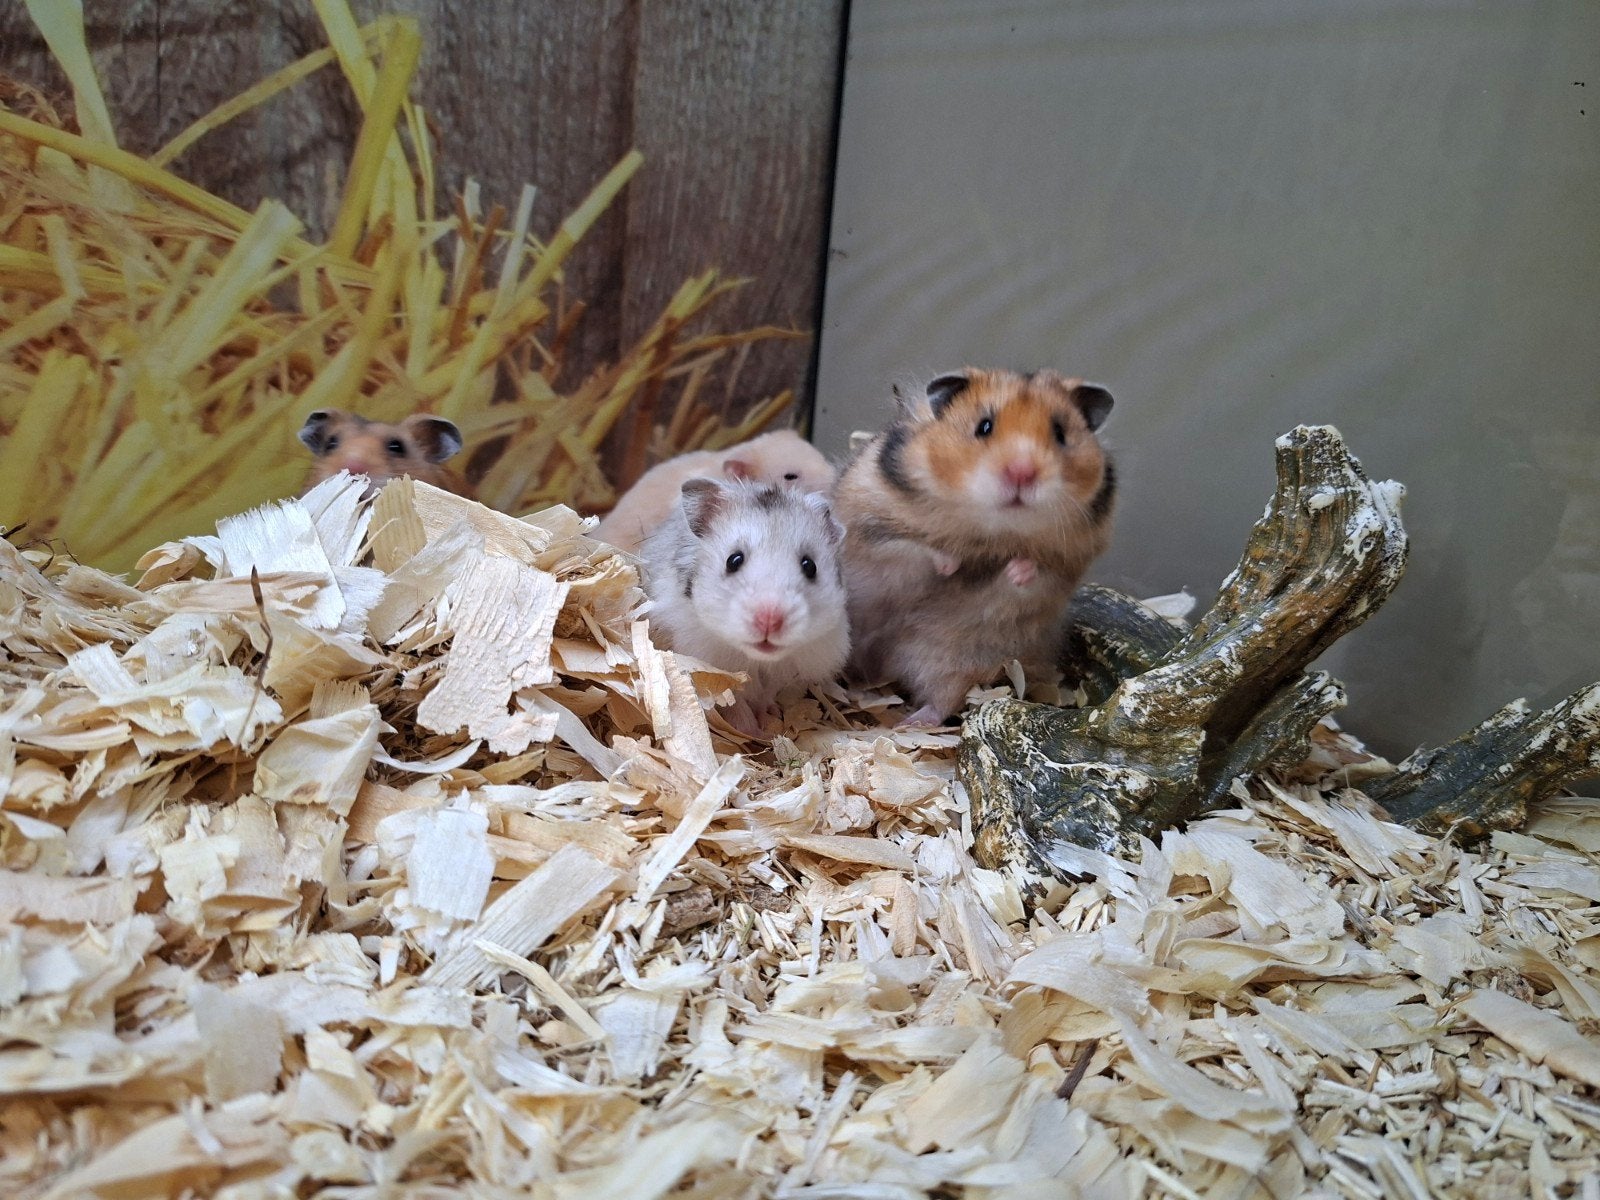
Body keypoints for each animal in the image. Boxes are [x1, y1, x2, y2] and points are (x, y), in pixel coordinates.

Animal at [640, 476, 850, 735]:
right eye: (733, 560)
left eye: (810, 566)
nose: (770, 620)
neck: (757, 659)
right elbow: (735, 703)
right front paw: (750, 732)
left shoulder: (784, 674)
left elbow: (766, 696)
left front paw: (769, 722)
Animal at [831, 368, 1116, 727]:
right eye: (984, 426)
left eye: (1060, 433)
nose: (1022, 473)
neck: (988, 529)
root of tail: (880, 670)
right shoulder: (870, 528)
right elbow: (912, 547)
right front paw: (951, 563)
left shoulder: (1062, 571)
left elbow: (1032, 577)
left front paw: (1017, 568)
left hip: (954, 660)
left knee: (943, 700)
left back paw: (907, 722)